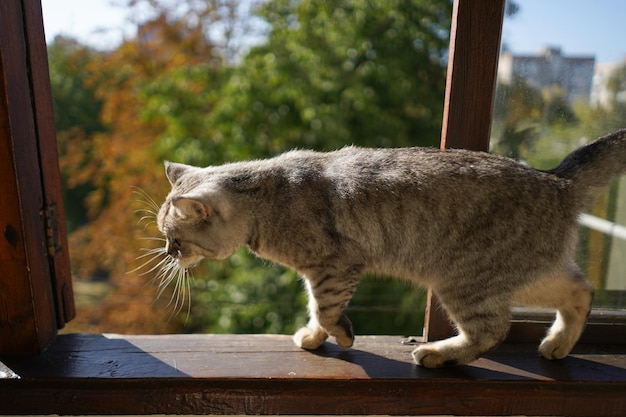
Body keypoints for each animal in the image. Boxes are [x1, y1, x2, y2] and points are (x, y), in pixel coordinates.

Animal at [152, 128, 624, 366]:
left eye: (176, 239)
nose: (169, 254)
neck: (267, 195)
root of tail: (557, 180)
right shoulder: (319, 273)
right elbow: (316, 310)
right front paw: (314, 337)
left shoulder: (335, 266)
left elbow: (326, 309)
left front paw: (340, 335)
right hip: (529, 275)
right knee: (581, 292)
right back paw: (557, 345)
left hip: (465, 281)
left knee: (491, 331)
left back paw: (437, 354)